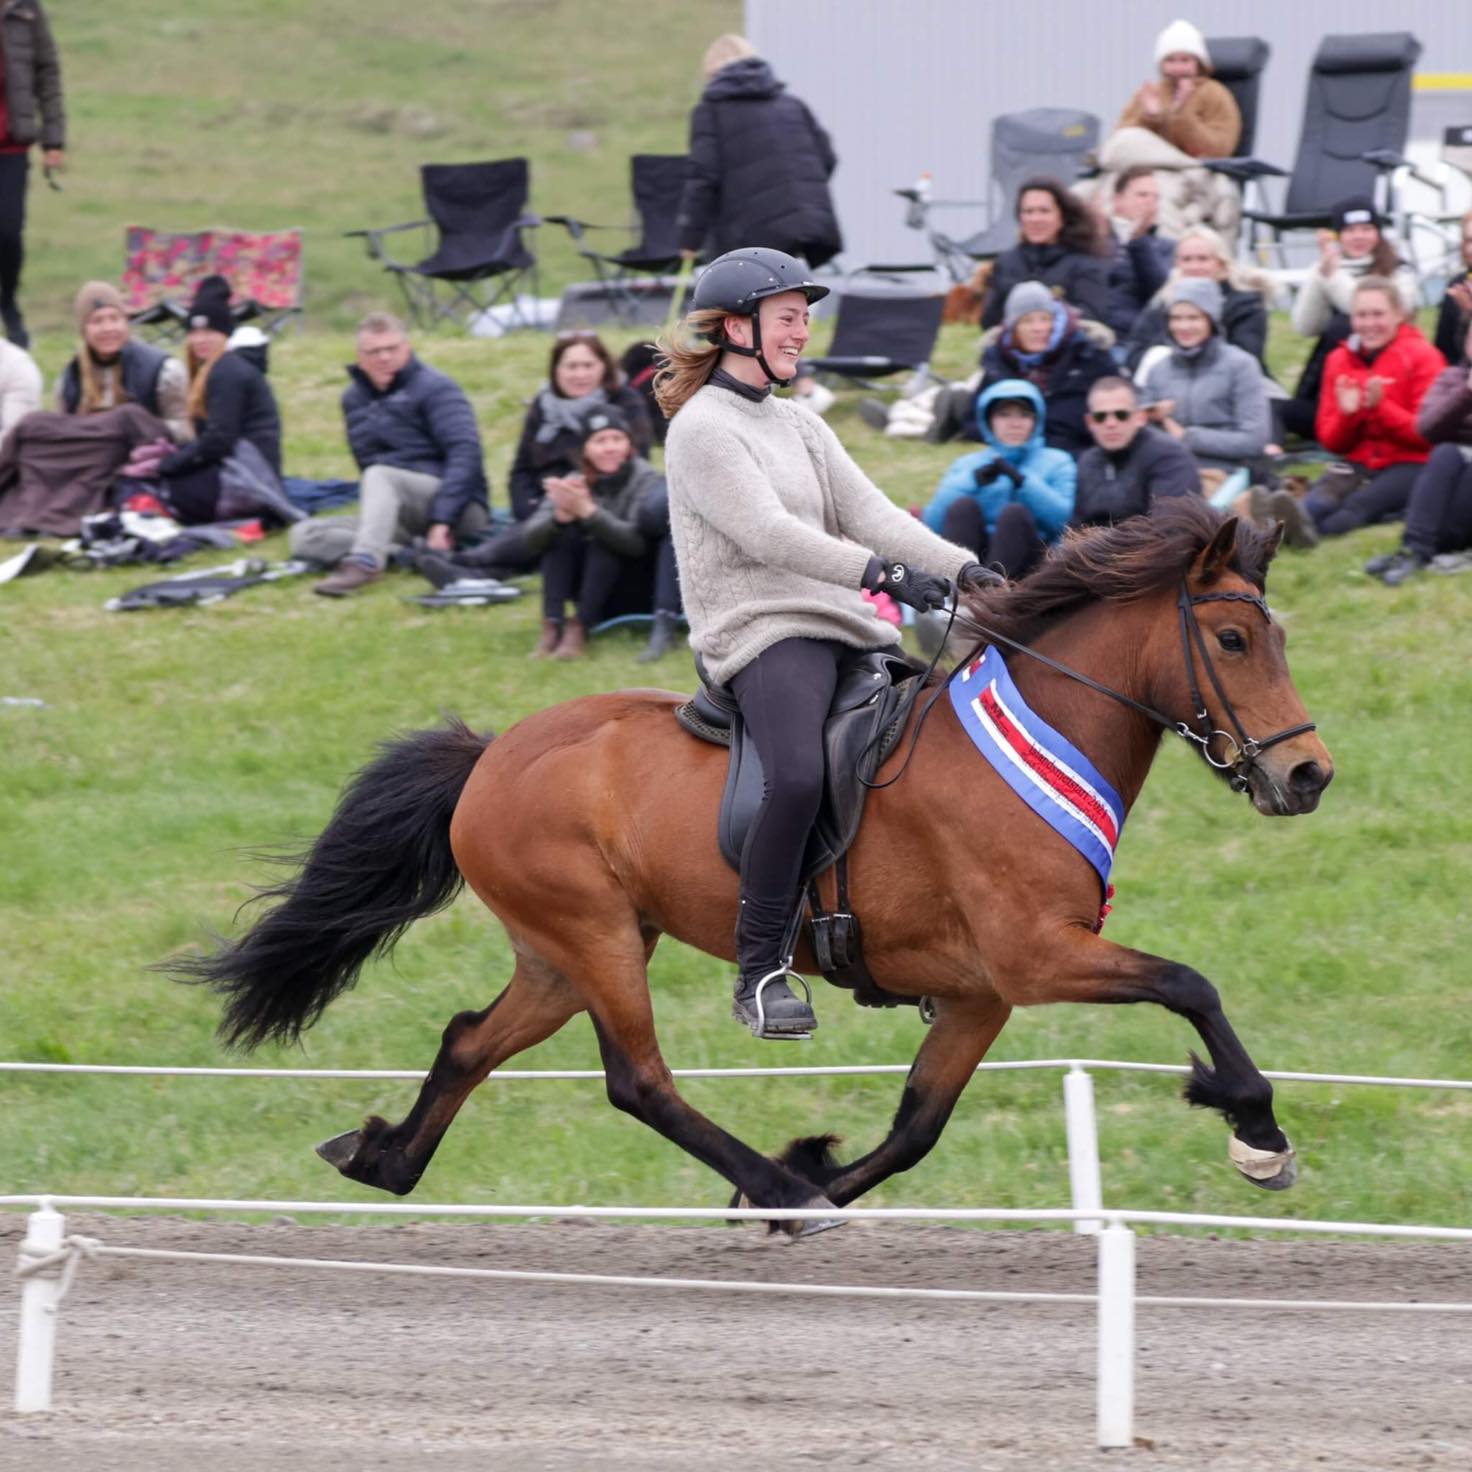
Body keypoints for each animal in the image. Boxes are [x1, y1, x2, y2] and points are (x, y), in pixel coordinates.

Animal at [172, 506, 1336, 1230]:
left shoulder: (980, 992)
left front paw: (816, 1175)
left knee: (469, 1041)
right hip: (594, 936)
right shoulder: (1034, 957)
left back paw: (386, 1157)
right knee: (638, 1081)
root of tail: (491, 753)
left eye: (1274, 634)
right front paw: (1255, 1128)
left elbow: (917, 1127)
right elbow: (1190, 983)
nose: (1309, 775)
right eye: (1233, 640)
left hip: (560, 952)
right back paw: (778, 1189)